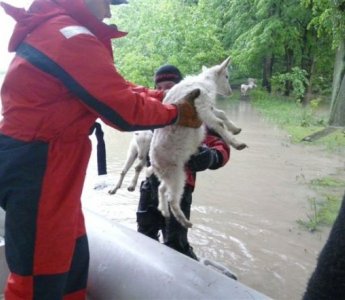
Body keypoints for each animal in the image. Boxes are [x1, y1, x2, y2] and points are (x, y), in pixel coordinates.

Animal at [149, 57, 246, 229]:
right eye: (226, 76)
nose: (229, 92)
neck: (205, 81)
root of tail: (154, 164)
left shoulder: (209, 108)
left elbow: (222, 114)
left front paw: (235, 129)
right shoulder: (202, 107)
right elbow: (219, 123)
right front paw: (236, 143)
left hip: (172, 173)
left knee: (161, 189)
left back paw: (164, 211)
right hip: (175, 174)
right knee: (173, 198)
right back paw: (184, 221)